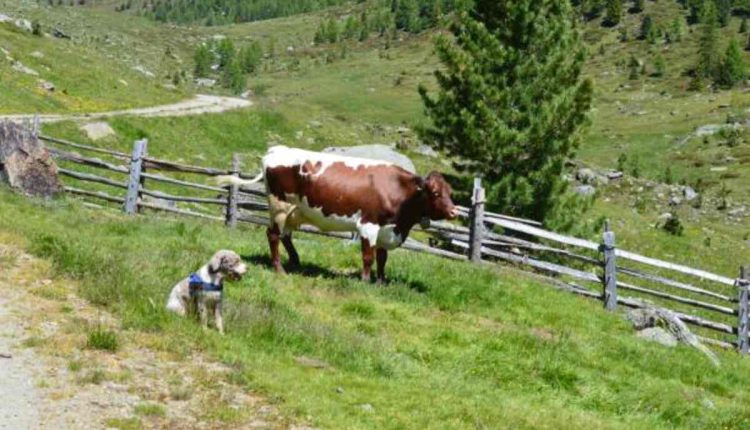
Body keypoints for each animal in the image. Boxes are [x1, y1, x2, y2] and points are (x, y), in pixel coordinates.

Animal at [217, 146, 458, 283]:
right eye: (435, 192)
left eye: (450, 192)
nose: (454, 211)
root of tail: (276, 150)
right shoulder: (368, 225)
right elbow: (368, 257)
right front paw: (365, 281)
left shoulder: (387, 229)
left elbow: (382, 258)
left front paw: (381, 281)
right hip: (280, 206)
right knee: (273, 235)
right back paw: (279, 269)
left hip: (295, 210)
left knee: (286, 236)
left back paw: (296, 262)